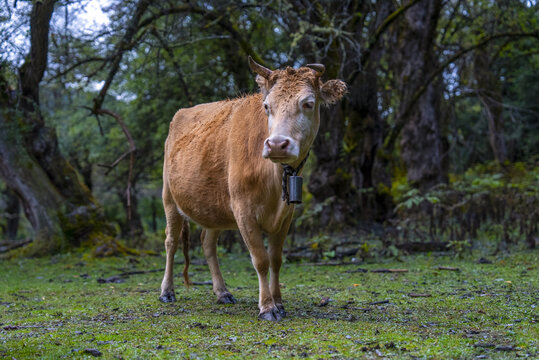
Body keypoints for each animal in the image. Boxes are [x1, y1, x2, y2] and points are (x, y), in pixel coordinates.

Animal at [159, 57, 346, 320]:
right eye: (267, 106)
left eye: (308, 103)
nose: (277, 144)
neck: (275, 179)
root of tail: (183, 112)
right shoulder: (243, 211)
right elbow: (260, 260)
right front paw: (267, 307)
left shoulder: (286, 215)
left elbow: (276, 259)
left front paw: (279, 302)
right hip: (169, 197)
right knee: (171, 241)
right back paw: (167, 291)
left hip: (213, 206)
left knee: (208, 244)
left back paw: (222, 292)